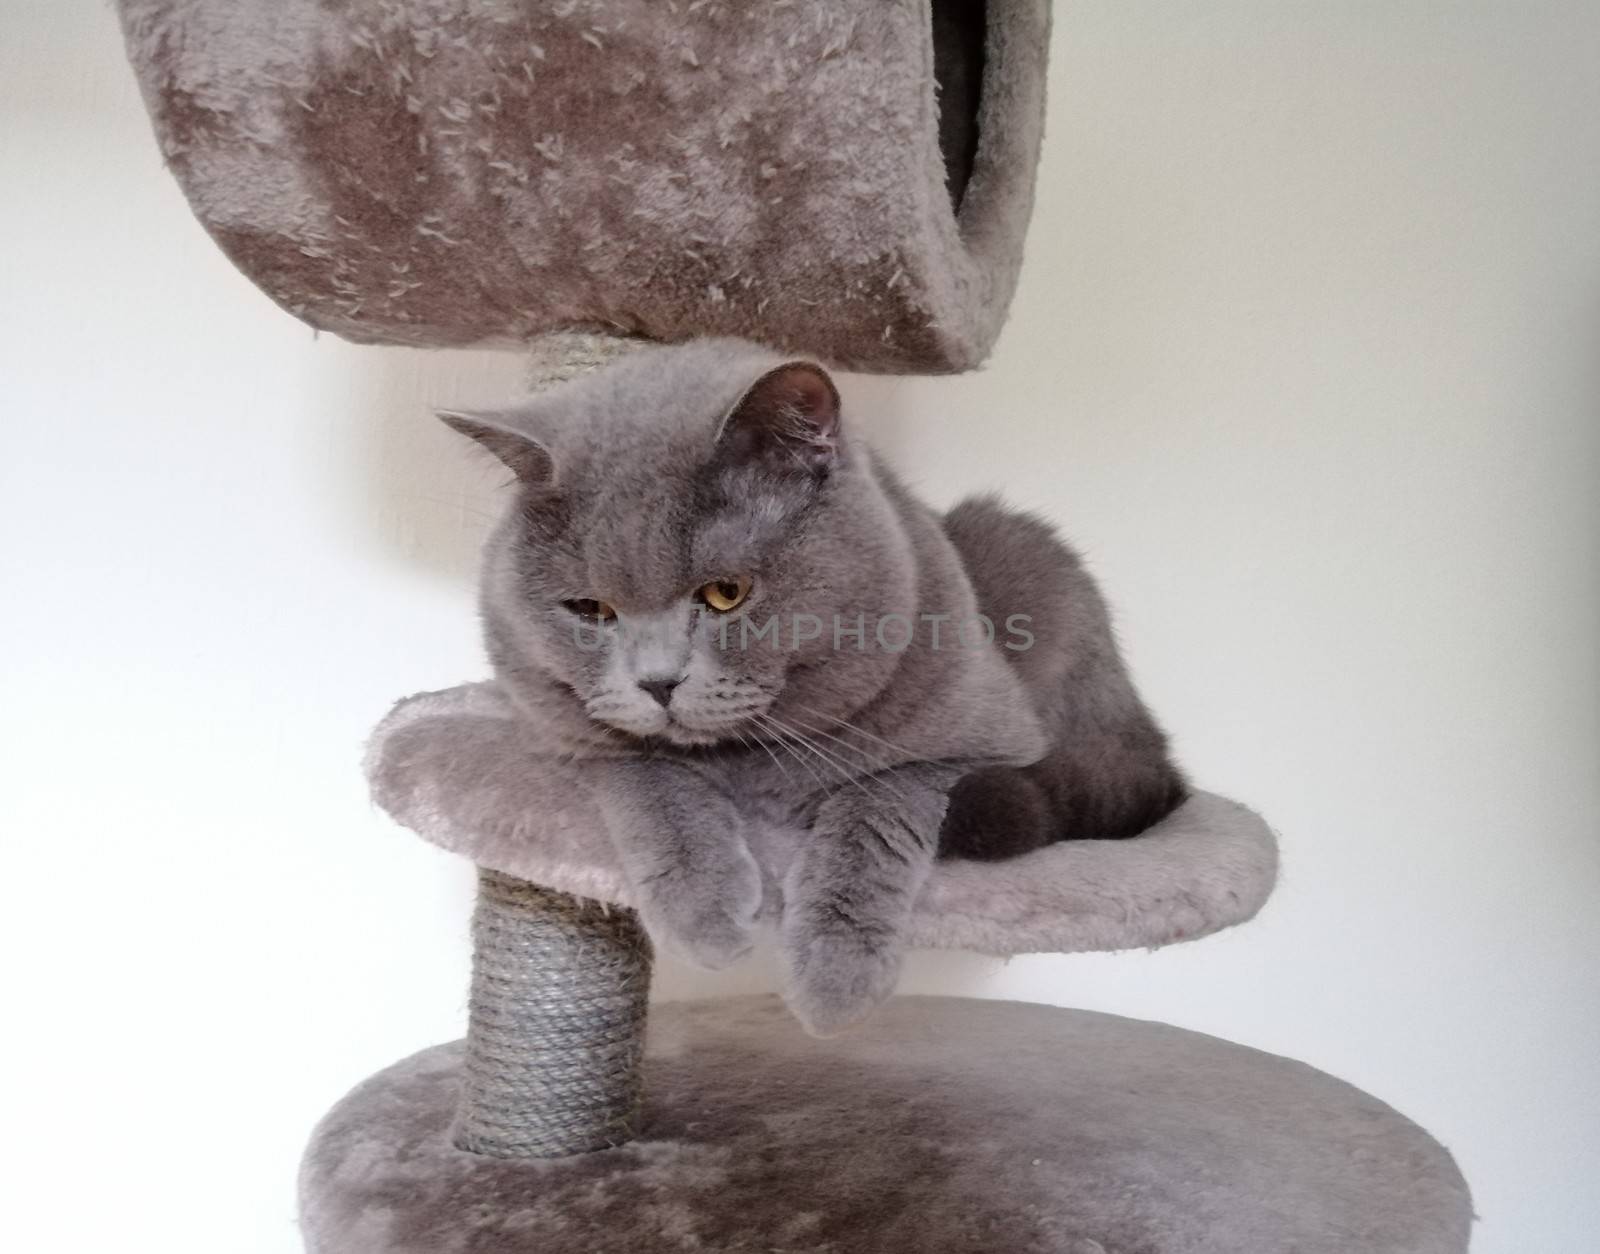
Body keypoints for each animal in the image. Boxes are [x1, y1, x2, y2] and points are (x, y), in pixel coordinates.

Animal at [444, 337, 1184, 1036]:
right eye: (589, 609)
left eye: (726, 593)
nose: (657, 681)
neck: (747, 766)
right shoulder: (567, 734)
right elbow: (648, 775)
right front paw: (705, 911)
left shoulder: (984, 742)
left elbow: (877, 804)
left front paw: (836, 974)